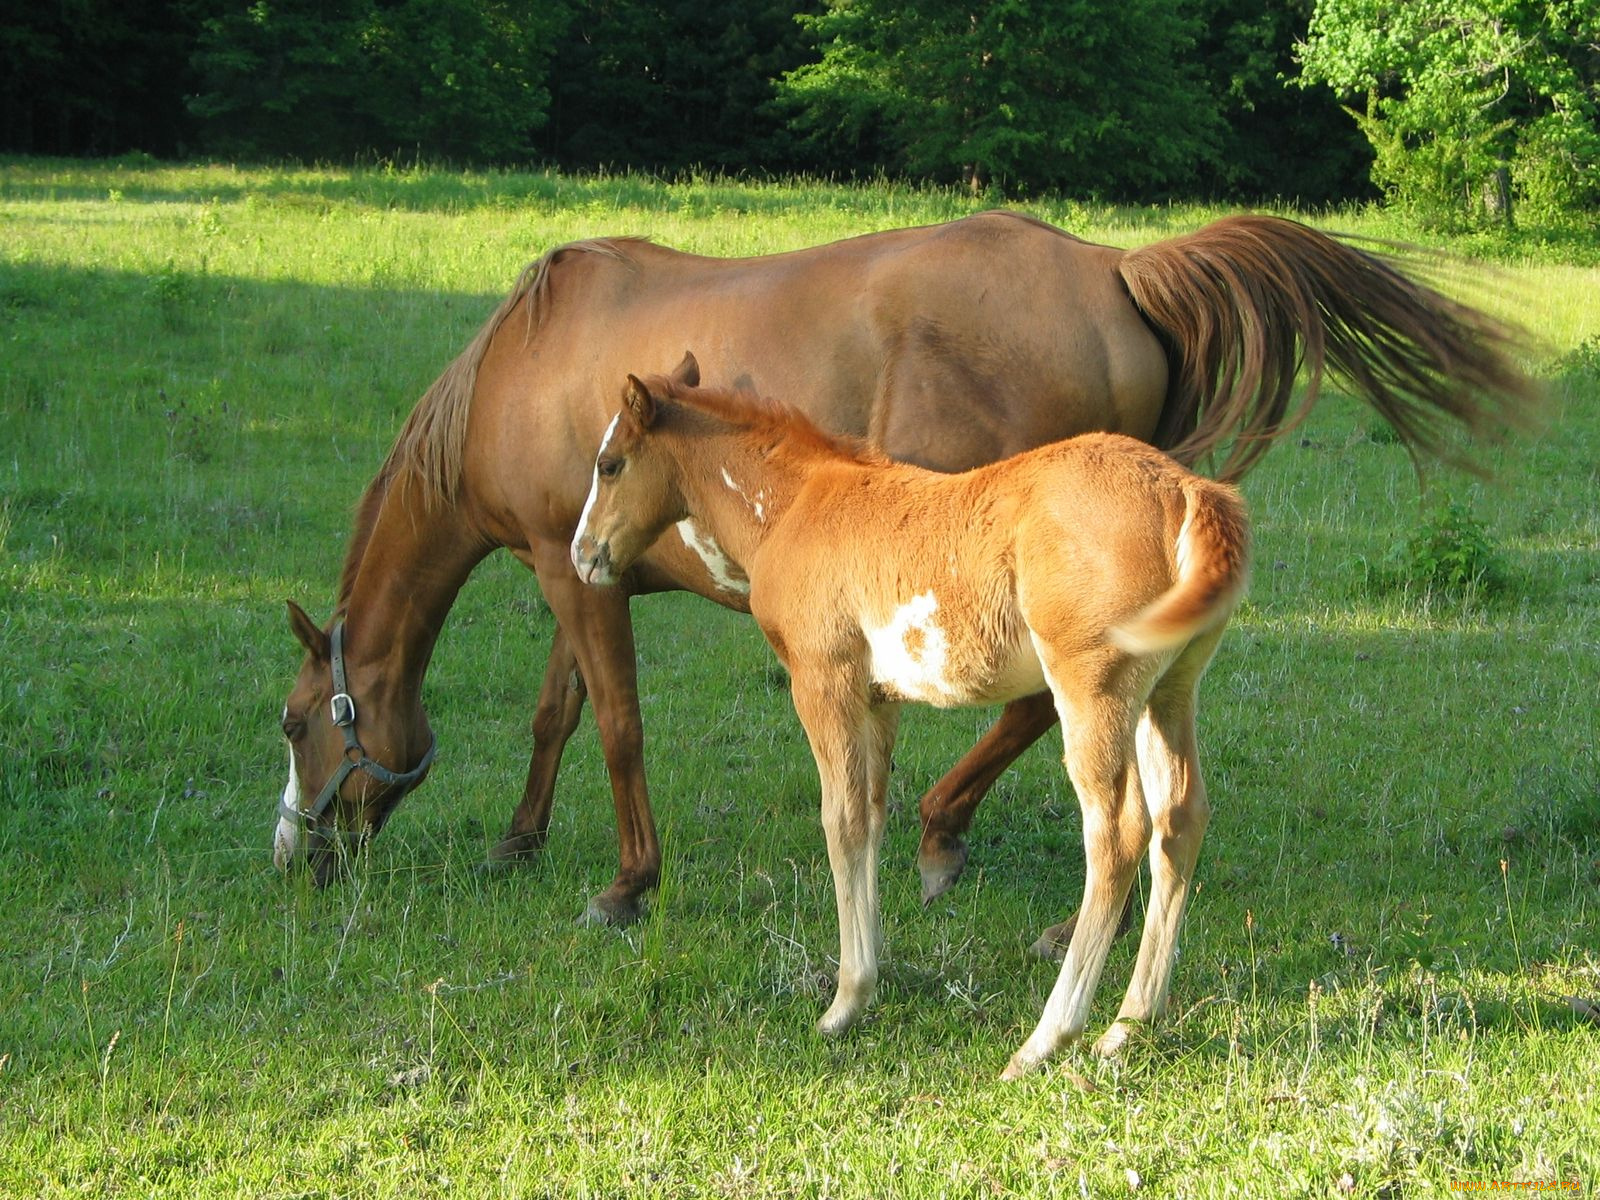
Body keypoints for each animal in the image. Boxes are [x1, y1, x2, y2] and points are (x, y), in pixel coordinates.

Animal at [275, 206, 1536, 928]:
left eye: (294, 725)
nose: (298, 859)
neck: (525, 361)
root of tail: (1112, 271)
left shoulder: (564, 568)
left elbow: (618, 727)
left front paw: (627, 887)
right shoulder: (583, 566)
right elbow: (558, 713)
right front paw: (518, 843)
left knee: (1040, 709)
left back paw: (937, 835)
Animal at [572, 360, 1248, 1081]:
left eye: (610, 464)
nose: (583, 555)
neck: (794, 506)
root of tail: (1187, 489)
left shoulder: (824, 681)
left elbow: (839, 823)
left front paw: (844, 1003)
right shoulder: (879, 699)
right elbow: (869, 817)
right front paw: (868, 982)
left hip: (1094, 690)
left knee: (1117, 833)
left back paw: (1046, 1039)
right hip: (1168, 692)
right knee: (1180, 820)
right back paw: (1128, 1026)